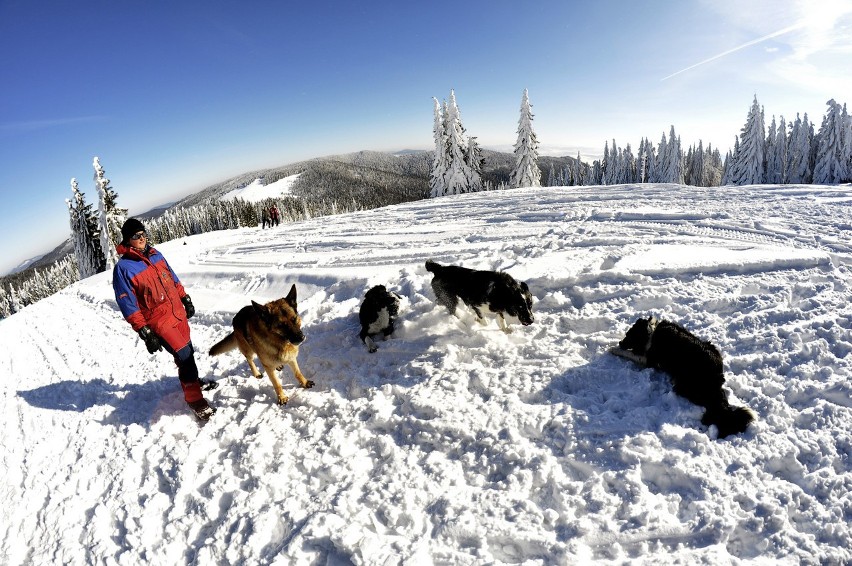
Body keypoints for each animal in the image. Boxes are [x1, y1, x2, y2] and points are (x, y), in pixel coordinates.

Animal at [608, 318, 756, 442]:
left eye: (629, 335)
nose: (620, 342)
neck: (651, 332)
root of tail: (716, 380)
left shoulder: (648, 359)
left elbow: (628, 353)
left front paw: (613, 349)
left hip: (683, 381)